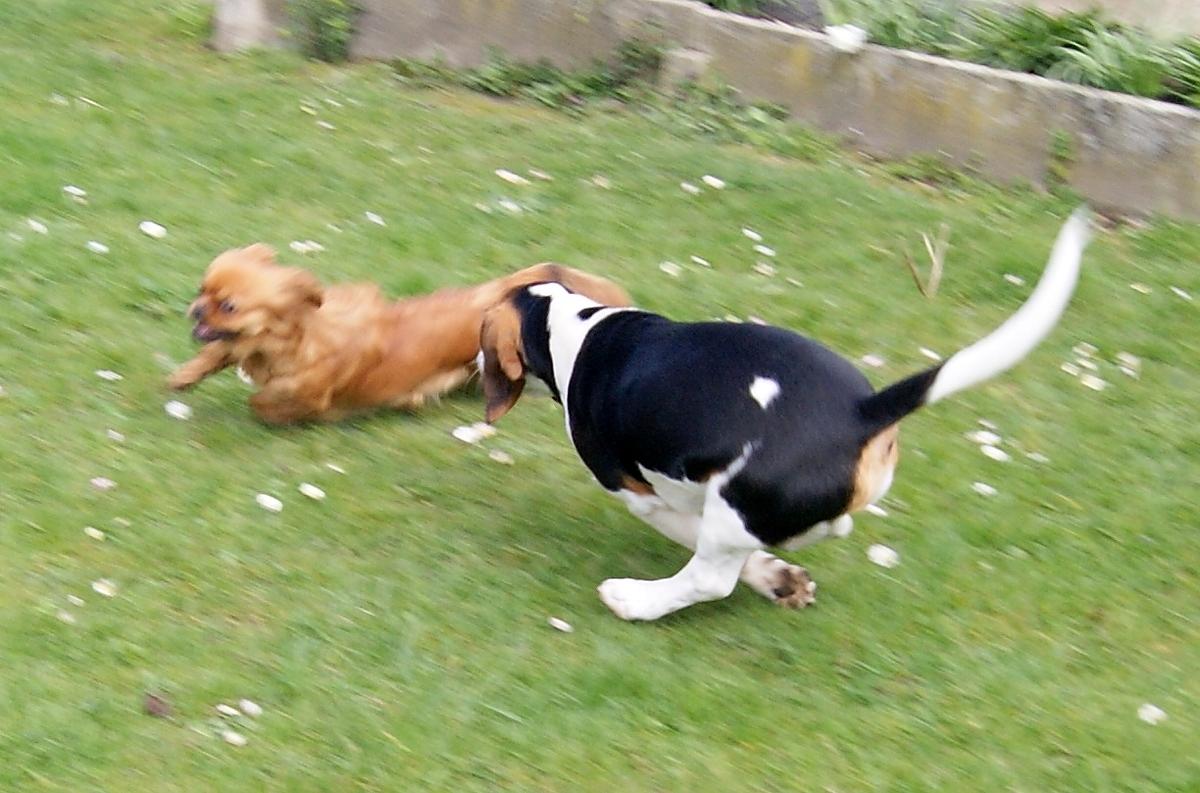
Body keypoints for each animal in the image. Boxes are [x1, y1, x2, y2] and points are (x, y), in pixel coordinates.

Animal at [170, 244, 633, 424]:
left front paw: (258, 406)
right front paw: (184, 377)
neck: (294, 338)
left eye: (229, 306)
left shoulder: (307, 392)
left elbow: (266, 400)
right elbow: (218, 353)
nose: (197, 309)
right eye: (202, 290)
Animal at [482, 208, 1094, 619]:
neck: (572, 323)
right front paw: (781, 577)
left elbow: (692, 534)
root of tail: (861, 411)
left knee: (708, 579)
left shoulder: (642, 494)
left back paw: (634, 599)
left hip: (732, 508)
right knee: (829, 527)